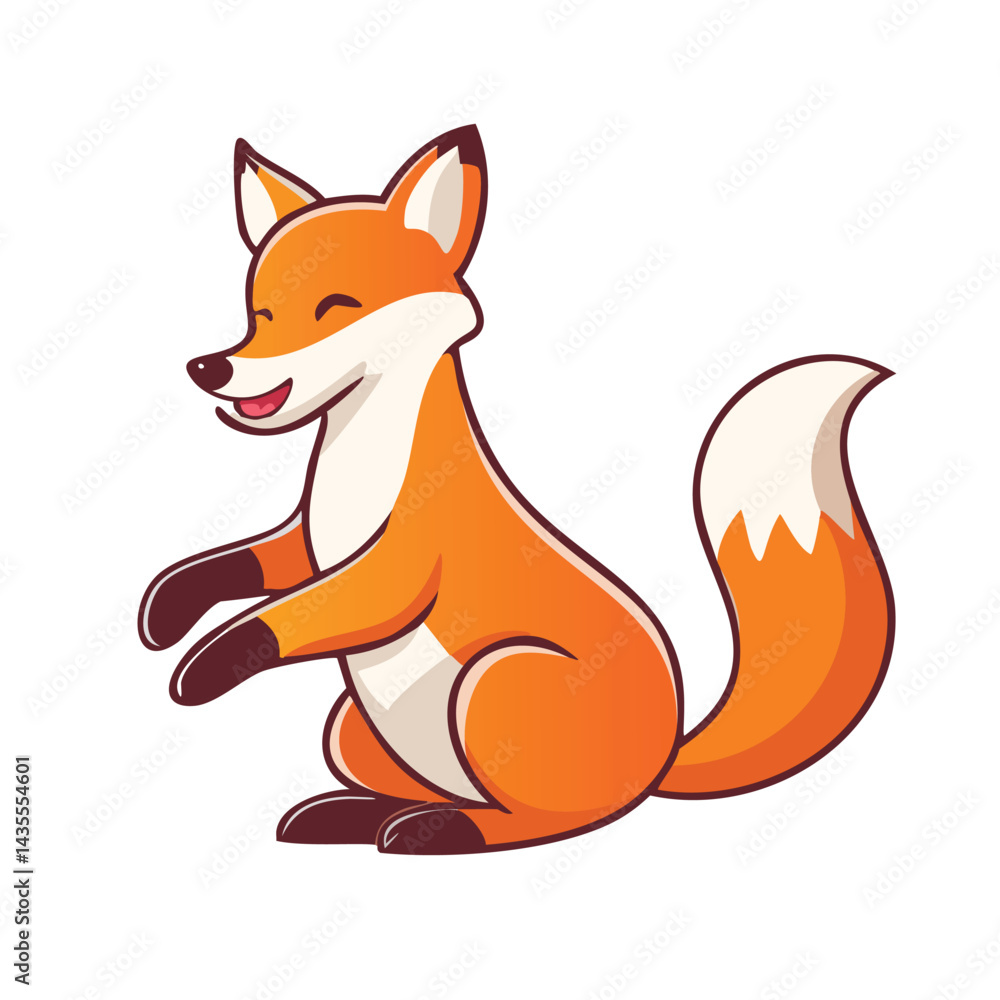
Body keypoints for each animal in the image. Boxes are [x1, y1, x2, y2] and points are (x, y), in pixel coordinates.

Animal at [139, 125, 894, 855]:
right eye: (260, 313)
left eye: (336, 306)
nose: (210, 367)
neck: (362, 469)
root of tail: (664, 752)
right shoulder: (308, 541)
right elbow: (241, 565)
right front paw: (167, 614)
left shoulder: (399, 566)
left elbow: (293, 614)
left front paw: (206, 667)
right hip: (351, 727)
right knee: (439, 793)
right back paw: (355, 817)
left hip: (494, 679)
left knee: (544, 818)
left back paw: (434, 834)